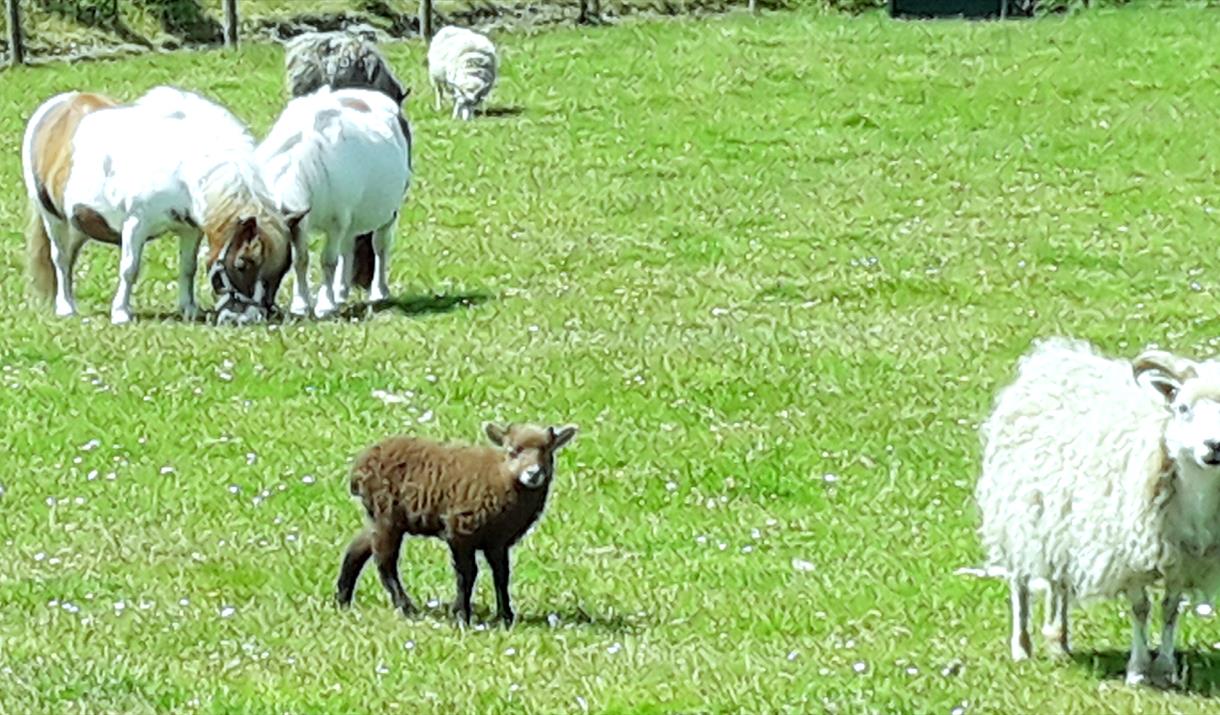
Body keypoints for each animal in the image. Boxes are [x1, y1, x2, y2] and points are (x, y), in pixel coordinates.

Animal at [254, 85, 412, 314]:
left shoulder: (335, 223)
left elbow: (328, 261)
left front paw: (325, 305)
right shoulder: (298, 222)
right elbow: (301, 260)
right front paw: (301, 304)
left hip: (387, 214)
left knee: (380, 246)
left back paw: (378, 292)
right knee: (349, 247)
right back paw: (341, 292)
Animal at [336, 419, 578, 619]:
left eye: (547, 451)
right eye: (513, 451)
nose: (533, 474)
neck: (503, 479)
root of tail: (360, 466)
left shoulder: (497, 541)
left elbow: (502, 575)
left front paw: (506, 616)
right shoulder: (460, 530)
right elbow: (467, 574)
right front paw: (462, 614)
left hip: (382, 516)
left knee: (357, 548)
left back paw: (342, 600)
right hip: (386, 514)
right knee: (385, 562)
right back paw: (406, 608)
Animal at [976, 336, 1220, 688]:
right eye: (1183, 408)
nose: (1214, 447)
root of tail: (1052, 356)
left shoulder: (1183, 559)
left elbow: (1170, 609)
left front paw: (1165, 668)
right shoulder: (1129, 555)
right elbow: (1141, 609)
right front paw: (1137, 669)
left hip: (1062, 522)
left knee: (1059, 584)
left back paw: (1059, 640)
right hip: (1018, 513)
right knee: (1019, 582)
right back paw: (1022, 646)